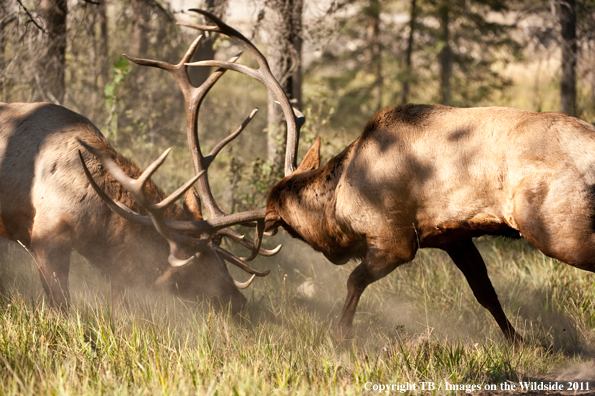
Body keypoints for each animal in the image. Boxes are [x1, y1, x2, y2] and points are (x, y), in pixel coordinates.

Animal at [268, 103, 595, 340]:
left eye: (288, 227)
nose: (333, 256)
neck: (338, 202)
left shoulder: (396, 242)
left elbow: (354, 281)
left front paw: (340, 336)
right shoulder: (454, 238)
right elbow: (486, 293)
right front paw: (517, 342)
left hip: (558, 230)